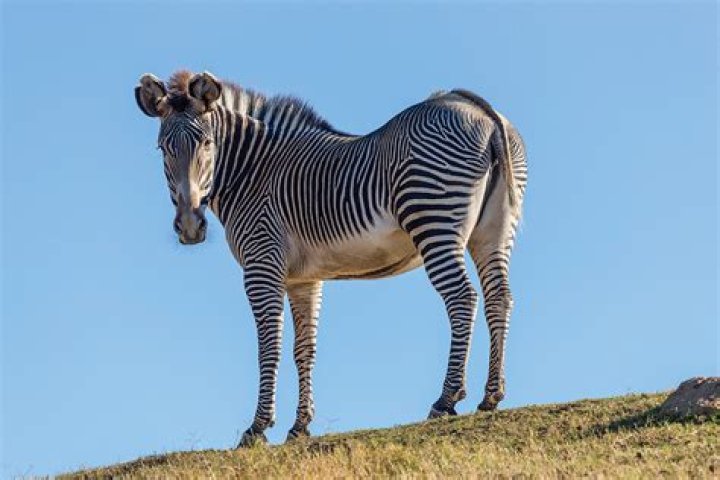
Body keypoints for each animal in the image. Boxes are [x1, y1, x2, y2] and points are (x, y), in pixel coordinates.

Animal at [135, 70, 527, 447]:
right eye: (162, 148)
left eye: (207, 143)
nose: (189, 227)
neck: (251, 172)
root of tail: (477, 108)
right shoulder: (303, 278)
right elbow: (304, 348)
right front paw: (299, 427)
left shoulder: (262, 265)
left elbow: (270, 346)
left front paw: (258, 427)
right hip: (493, 231)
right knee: (499, 297)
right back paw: (492, 395)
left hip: (434, 219)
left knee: (463, 298)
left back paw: (447, 399)